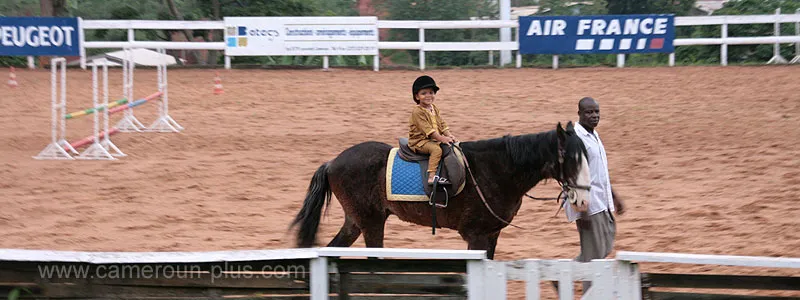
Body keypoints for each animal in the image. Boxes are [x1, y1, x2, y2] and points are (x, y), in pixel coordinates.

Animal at [290, 121, 592, 258]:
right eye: (572, 159)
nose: (583, 200)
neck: (498, 169)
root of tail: (332, 162)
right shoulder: (476, 235)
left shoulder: (491, 235)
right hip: (371, 223)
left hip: (355, 222)